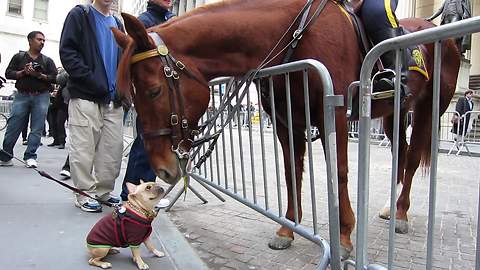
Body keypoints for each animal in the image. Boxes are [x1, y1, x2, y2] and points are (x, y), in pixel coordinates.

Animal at [112, 0, 462, 258]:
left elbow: (340, 172)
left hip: (429, 110)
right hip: (395, 115)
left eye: (153, 91)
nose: (163, 168)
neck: (295, 32)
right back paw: (392, 208)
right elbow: (291, 170)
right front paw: (288, 228)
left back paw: (401, 213)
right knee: (401, 154)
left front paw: (344, 236)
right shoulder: (285, 120)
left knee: (412, 158)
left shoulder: (333, 113)